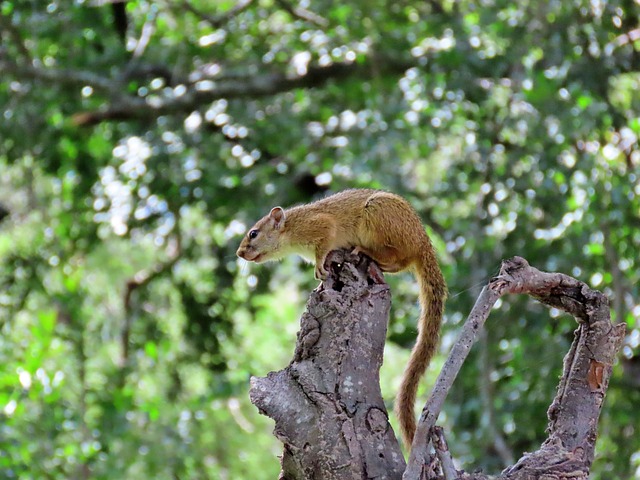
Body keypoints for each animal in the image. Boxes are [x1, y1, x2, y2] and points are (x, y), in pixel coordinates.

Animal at [236, 188, 447, 449]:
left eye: (253, 233)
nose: (240, 253)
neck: (292, 228)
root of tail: (423, 243)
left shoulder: (321, 225)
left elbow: (324, 245)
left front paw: (319, 267)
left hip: (378, 214)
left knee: (398, 258)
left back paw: (367, 252)